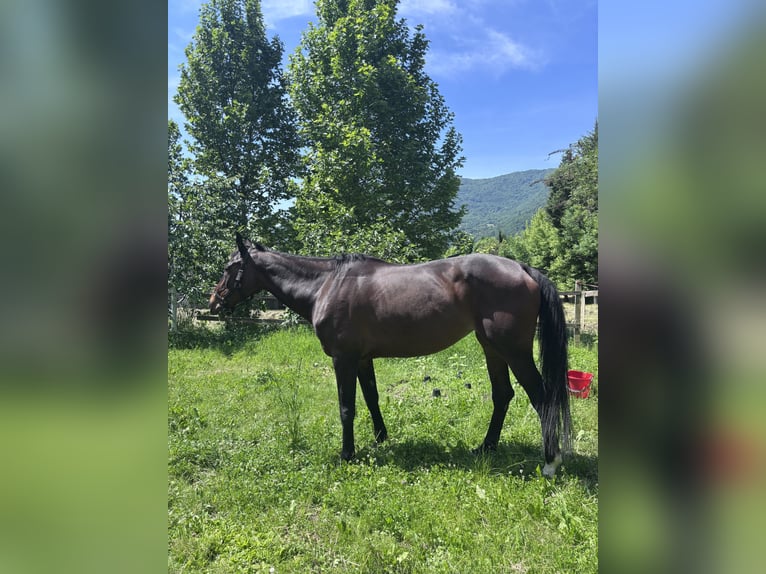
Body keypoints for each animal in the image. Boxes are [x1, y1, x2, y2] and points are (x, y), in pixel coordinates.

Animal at [210, 233, 571, 477]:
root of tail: (523, 268)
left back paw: (550, 463)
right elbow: (371, 398)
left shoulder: (343, 359)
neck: (327, 284)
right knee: (503, 395)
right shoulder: (362, 359)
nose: (214, 301)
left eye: (230, 267)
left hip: (514, 351)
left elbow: (347, 408)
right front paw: (380, 439)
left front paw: (347, 453)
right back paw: (486, 447)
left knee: (541, 399)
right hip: (492, 348)